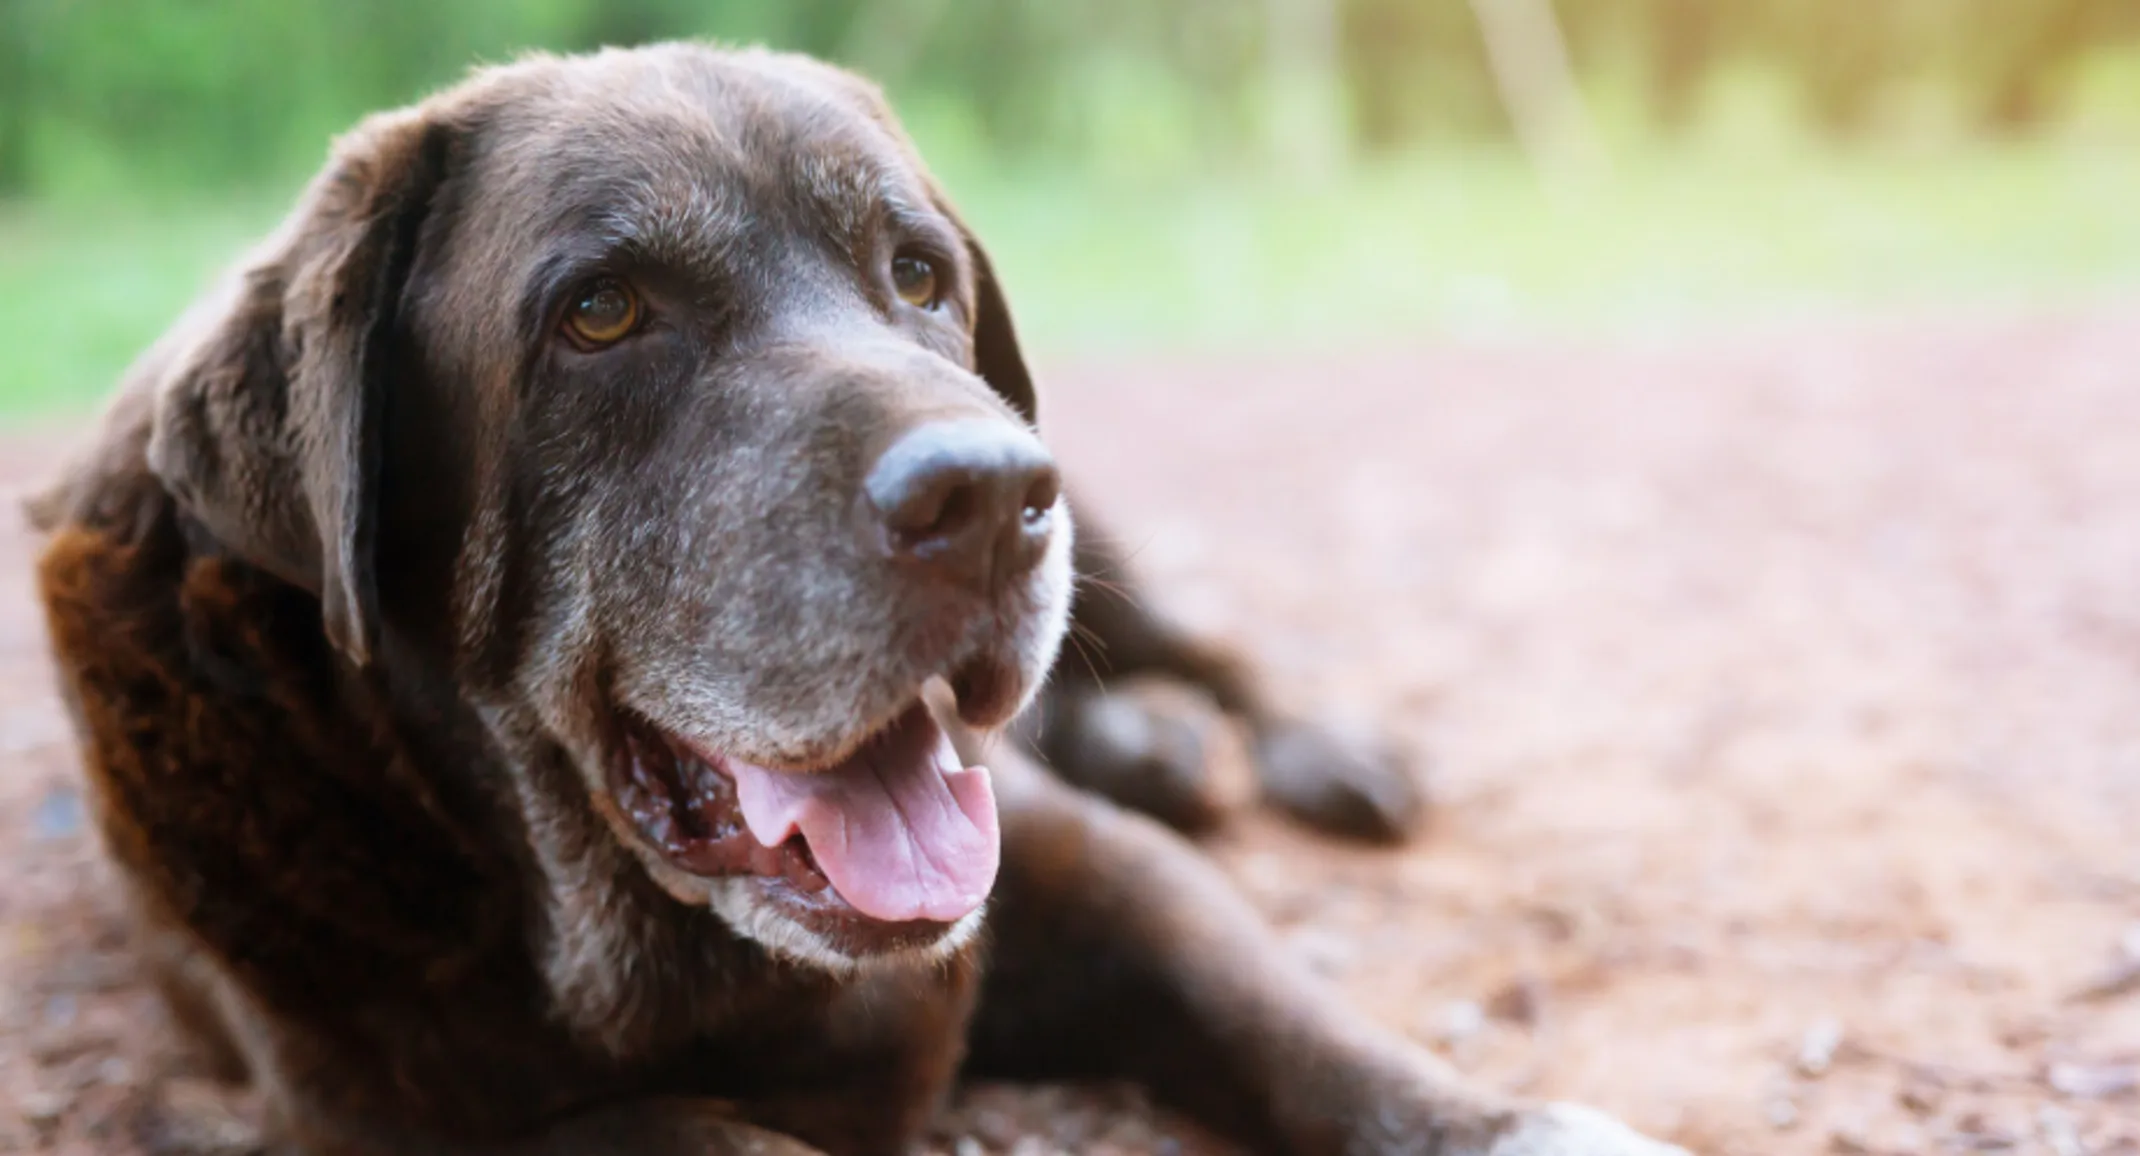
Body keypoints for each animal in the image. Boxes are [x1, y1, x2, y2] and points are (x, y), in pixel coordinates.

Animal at [25, 45, 1677, 1156]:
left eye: (917, 274)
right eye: (600, 313)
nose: (992, 497)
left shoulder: (1085, 871)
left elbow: (1277, 1006)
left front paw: (1500, 1120)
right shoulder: (384, 1104)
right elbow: (687, 1125)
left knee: (1199, 645)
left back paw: (1302, 747)